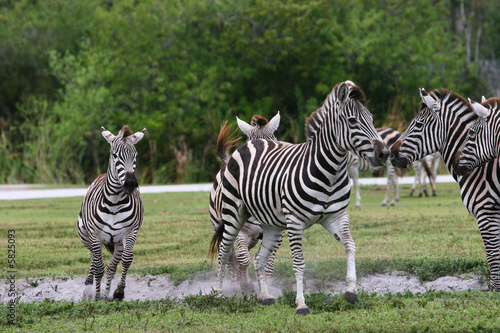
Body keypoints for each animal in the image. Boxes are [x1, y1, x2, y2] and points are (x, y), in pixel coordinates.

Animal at [77, 124, 146, 300]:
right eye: (115, 156)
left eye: (135, 155)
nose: (130, 183)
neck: (114, 203)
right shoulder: (95, 235)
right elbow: (98, 266)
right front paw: (97, 297)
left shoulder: (130, 232)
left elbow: (127, 260)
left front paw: (118, 292)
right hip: (85, 236)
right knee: (94, 259)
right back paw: (90, 287)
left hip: (118, 243)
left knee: (112, 266)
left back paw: (107, 294)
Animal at [209, 111, 284, 290]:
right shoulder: (240, 230)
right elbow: (243, 258)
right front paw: (245, 284)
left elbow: (267, 262)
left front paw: (265, 286)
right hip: (223, 226)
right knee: (229, 255)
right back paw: (234, 284)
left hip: (254, 235)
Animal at [390, 88, 500, 290]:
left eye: (418, 125)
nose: (391, 154)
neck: (480, 170)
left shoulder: (486, 211)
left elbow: (493, 254)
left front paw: (495, 289)